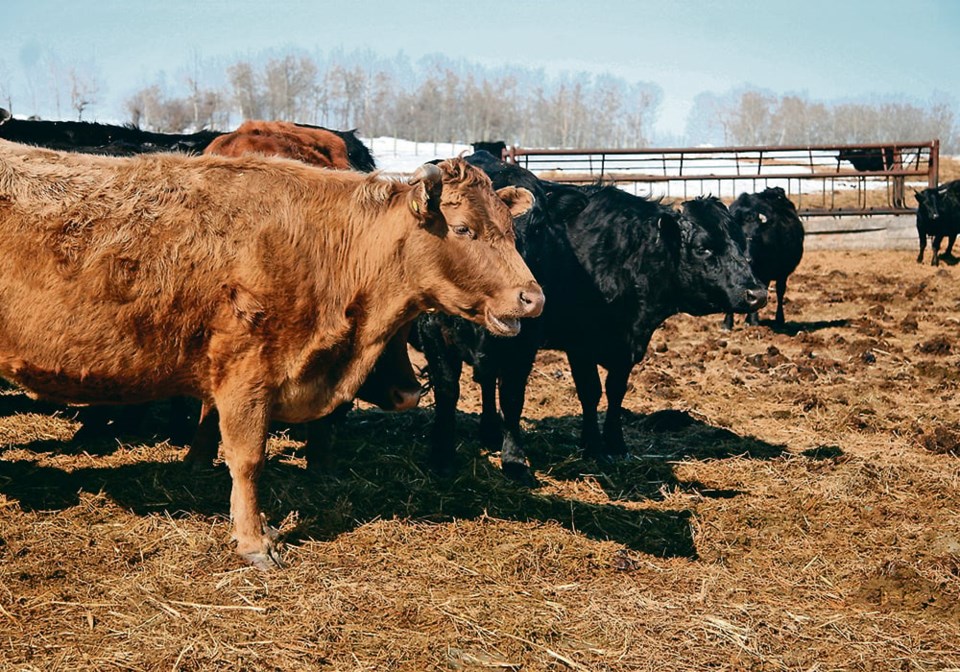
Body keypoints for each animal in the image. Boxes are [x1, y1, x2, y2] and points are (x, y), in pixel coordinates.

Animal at [0, 142, 540, 568]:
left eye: (512, 233)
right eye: (464, 229)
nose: (534, 298)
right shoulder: (247, 375)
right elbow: (247, 460)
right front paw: (254, 541)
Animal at [416, 156, 768, 484]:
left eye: (743, 246)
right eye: (703, 248)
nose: (757, 293)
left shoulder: (618, 344)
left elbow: (610, 392)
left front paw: (612, 443)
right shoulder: (578, 344)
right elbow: (587, 391)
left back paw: (490, 432)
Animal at [728, 186, 804, 328]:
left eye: (756, 236)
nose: (747, 260)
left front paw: (753, 321)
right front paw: (727, 324)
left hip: (782, 274)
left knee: (780, 292)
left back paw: (778, 319)